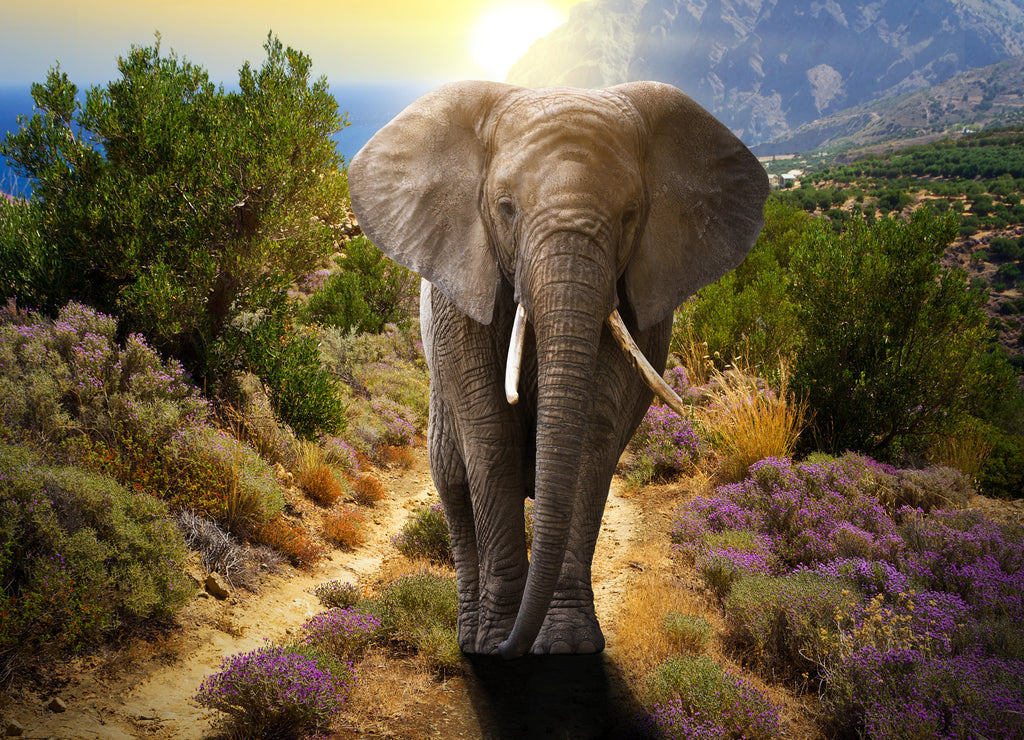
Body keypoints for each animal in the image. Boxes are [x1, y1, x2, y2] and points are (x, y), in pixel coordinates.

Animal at [348, 81, 768, 659]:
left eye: (631, 215)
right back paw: (470, 637)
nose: (511, 650)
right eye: (505, 209)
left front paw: (567, 645)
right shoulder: (462, 291)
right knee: (452, 481)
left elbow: (592, 432)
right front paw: (495, 644)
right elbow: (491, 436)